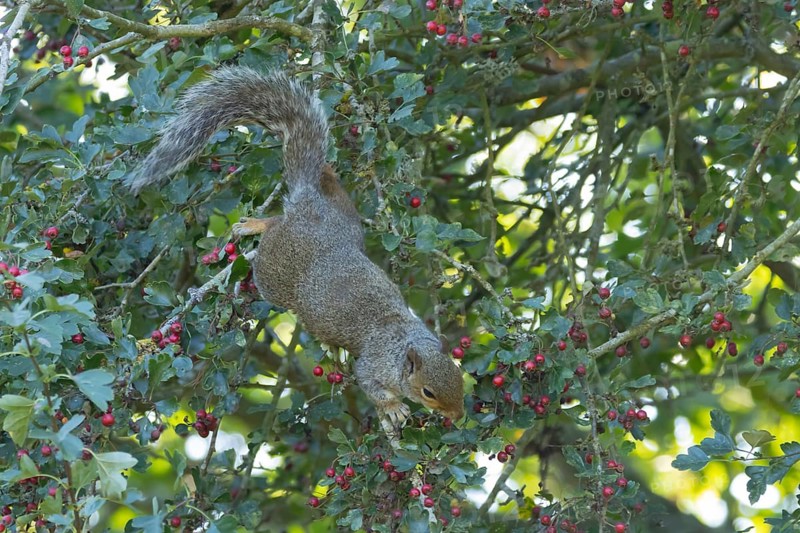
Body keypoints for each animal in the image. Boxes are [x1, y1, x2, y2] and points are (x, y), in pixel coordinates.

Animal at [127, 66, 465, 427]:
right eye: (428, 392)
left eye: (459, 379)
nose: (458, 415)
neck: (403, 346)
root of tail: (306, 206)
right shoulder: (373, 365)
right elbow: (371, 385)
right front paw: (393, 408)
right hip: (274, 273)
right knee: (274, 228)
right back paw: (254, 226)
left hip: (346, 219)